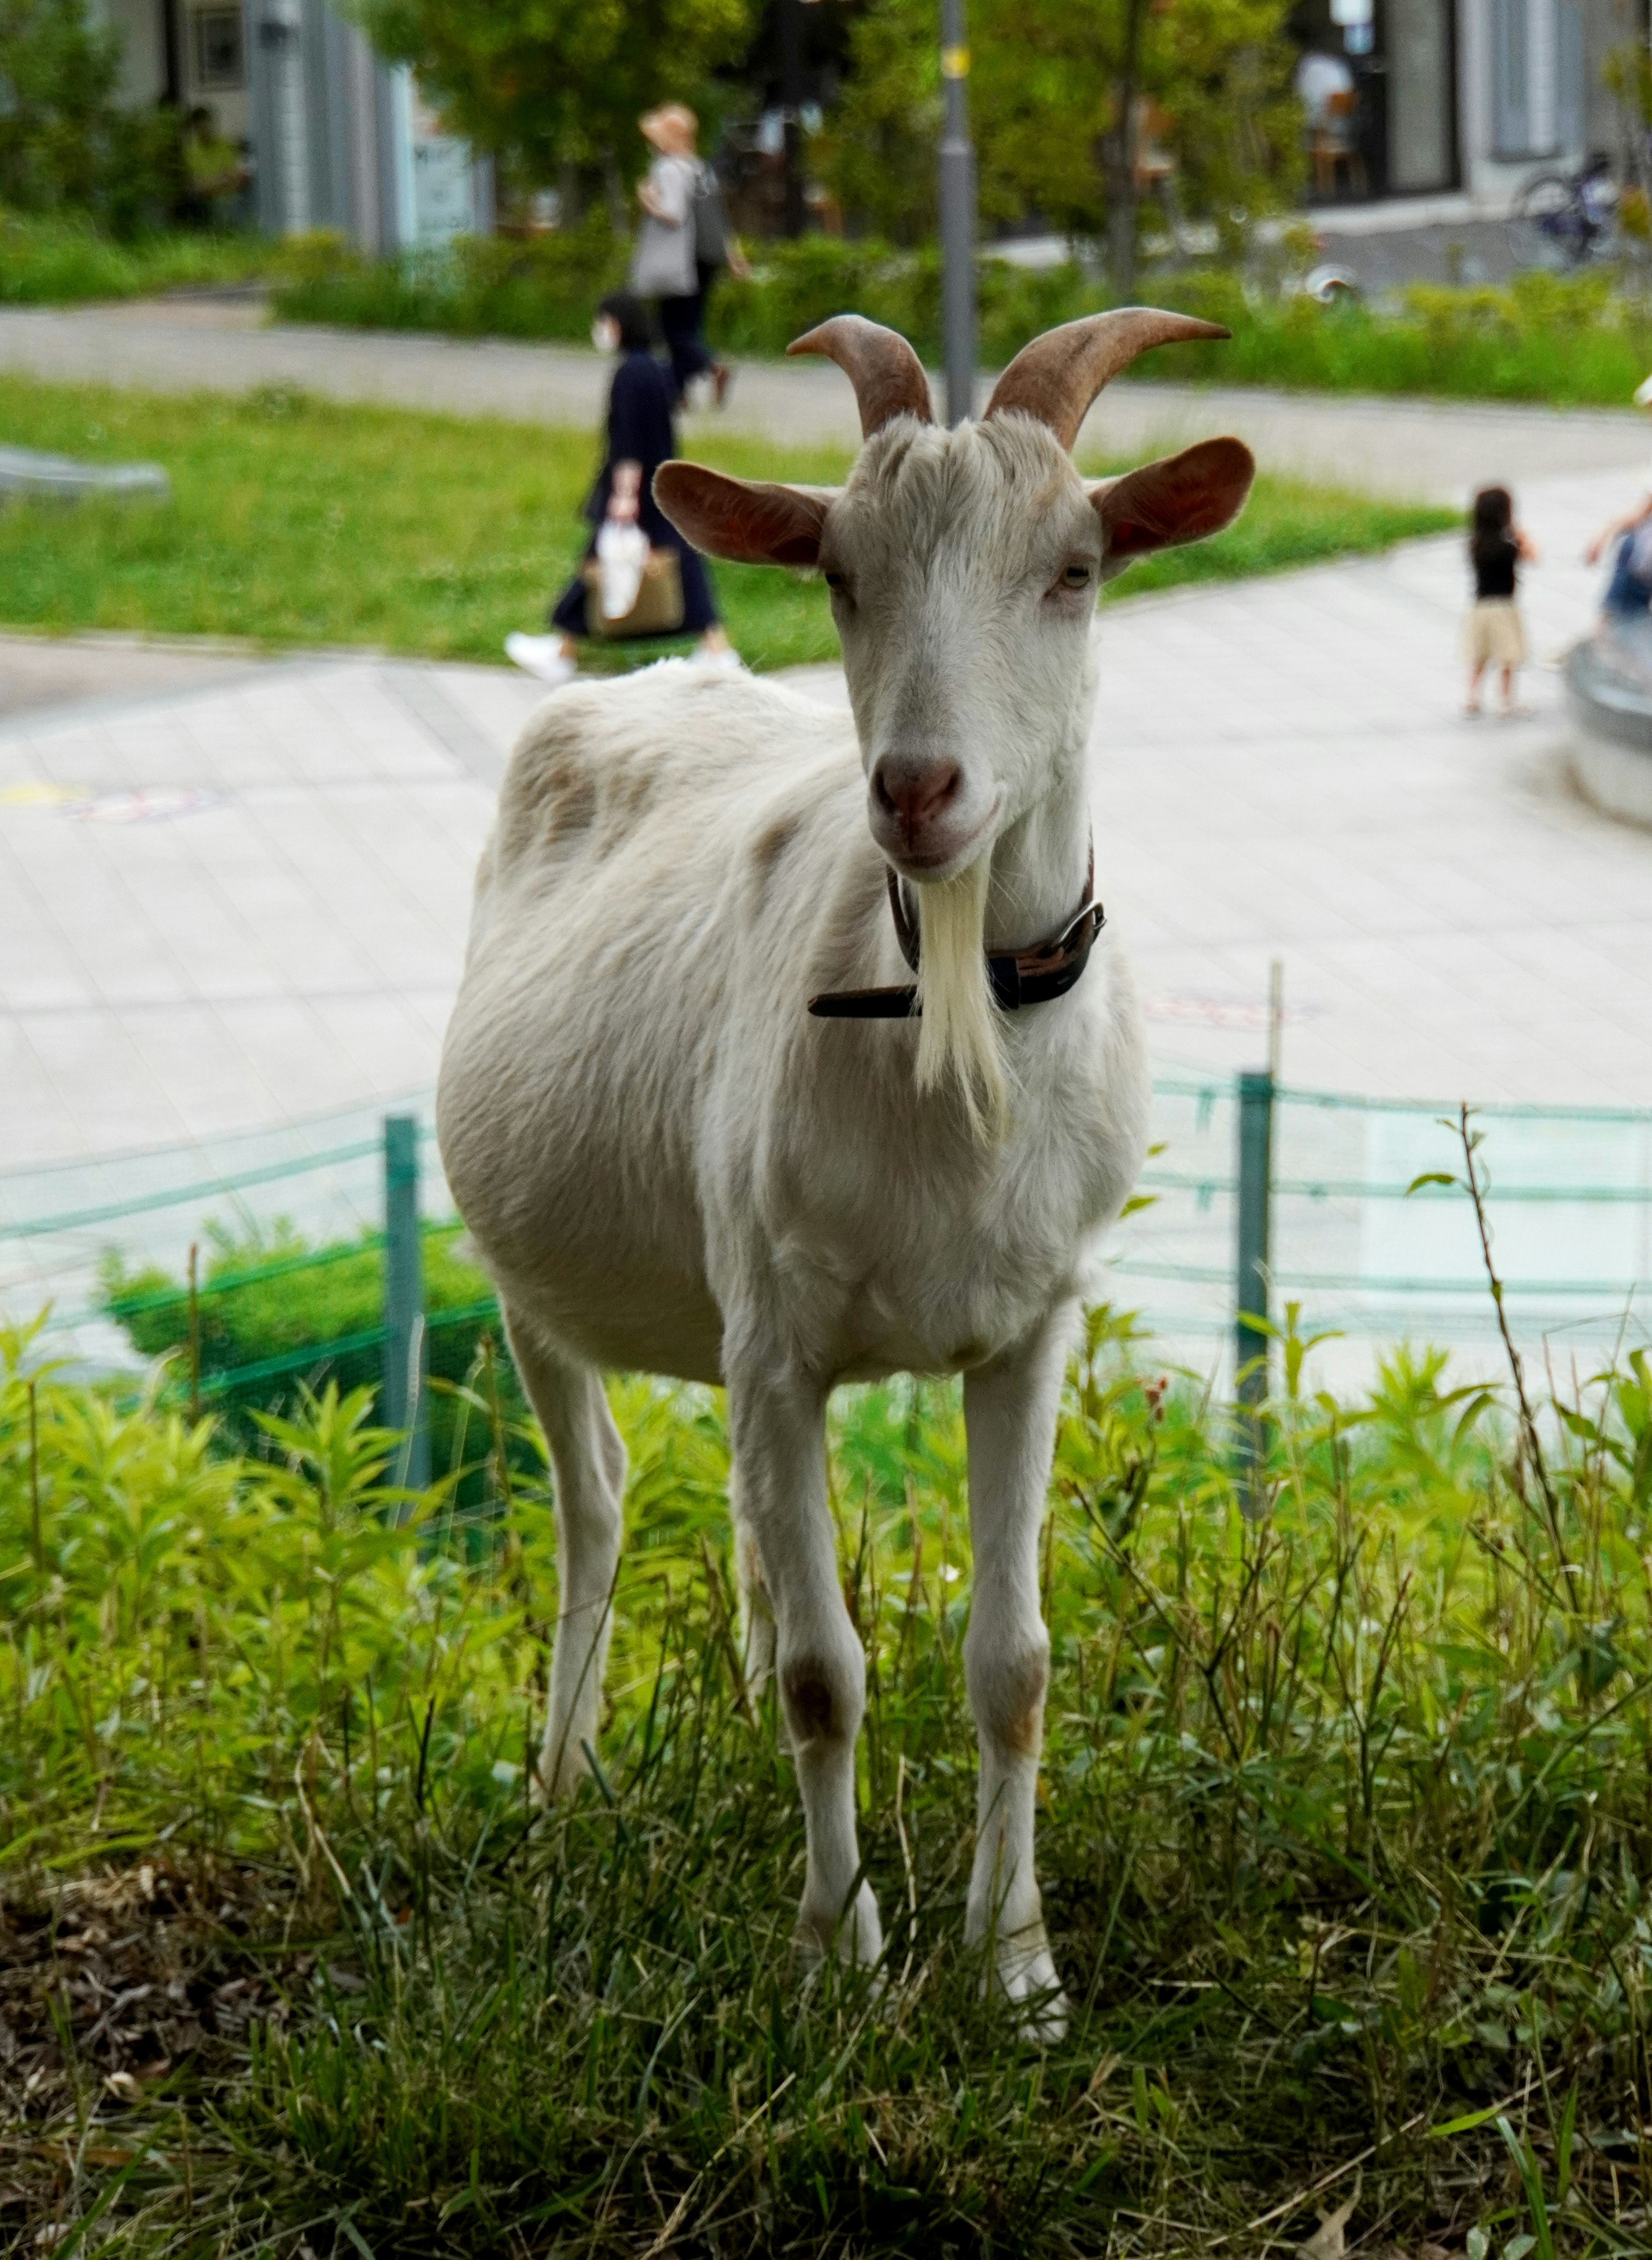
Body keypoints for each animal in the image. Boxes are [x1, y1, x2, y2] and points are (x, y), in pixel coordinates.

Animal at [438, 314, 1256, 2034]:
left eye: (1074, 566)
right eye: (837, 571)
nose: (917, 789)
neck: (942, 1014)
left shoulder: (1027, 1329)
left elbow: (1012, 1664)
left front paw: (1016, 1970)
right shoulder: (778, 1340)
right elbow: (832, 1676)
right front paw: (835, 1957)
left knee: (744, 1534)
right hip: (531, 1281)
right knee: (595, 1501)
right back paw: (562, 1786)